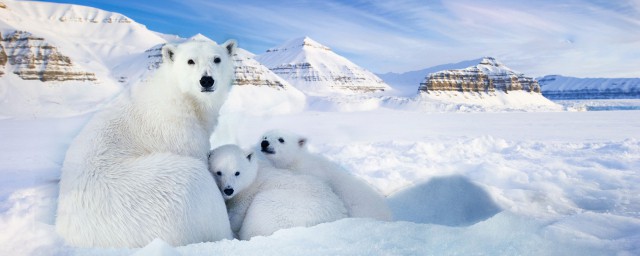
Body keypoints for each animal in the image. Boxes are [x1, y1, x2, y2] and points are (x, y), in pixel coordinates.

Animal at [209, 145, 348, 241]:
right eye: (218, 172)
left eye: (237, 172)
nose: (228, 190)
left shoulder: (247, 195)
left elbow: (236, 215)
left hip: (282, 207)